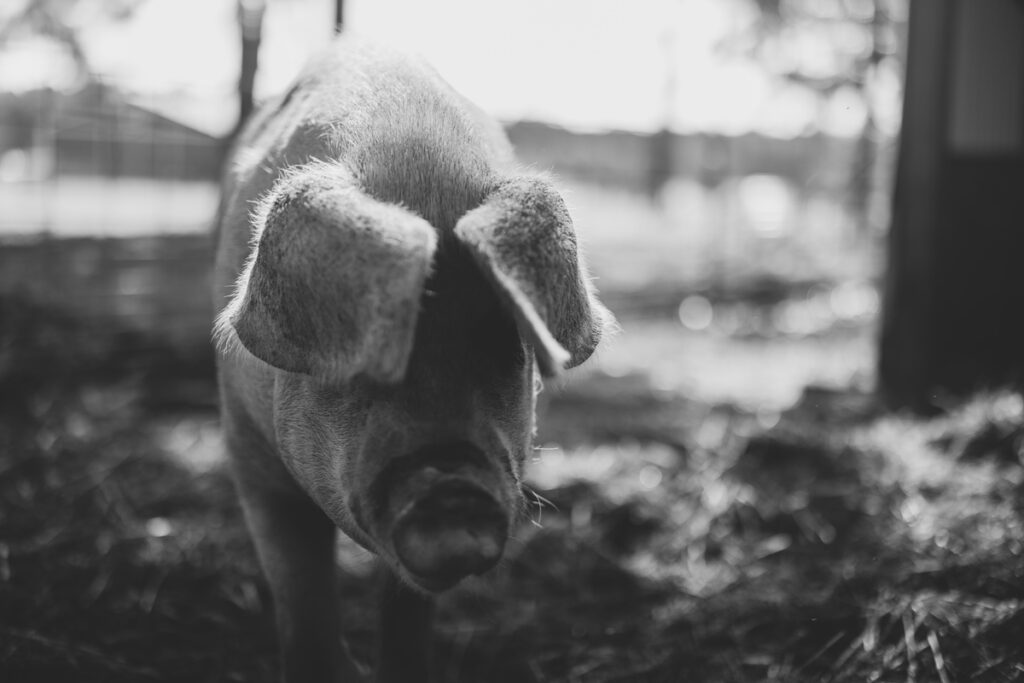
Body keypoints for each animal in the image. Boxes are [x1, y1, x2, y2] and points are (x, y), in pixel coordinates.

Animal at [207, 36, 606, 683]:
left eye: (504, 346)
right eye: (367, 366)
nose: (453, 490)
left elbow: (407, 612)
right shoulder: (248, 449)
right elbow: (302, 593)